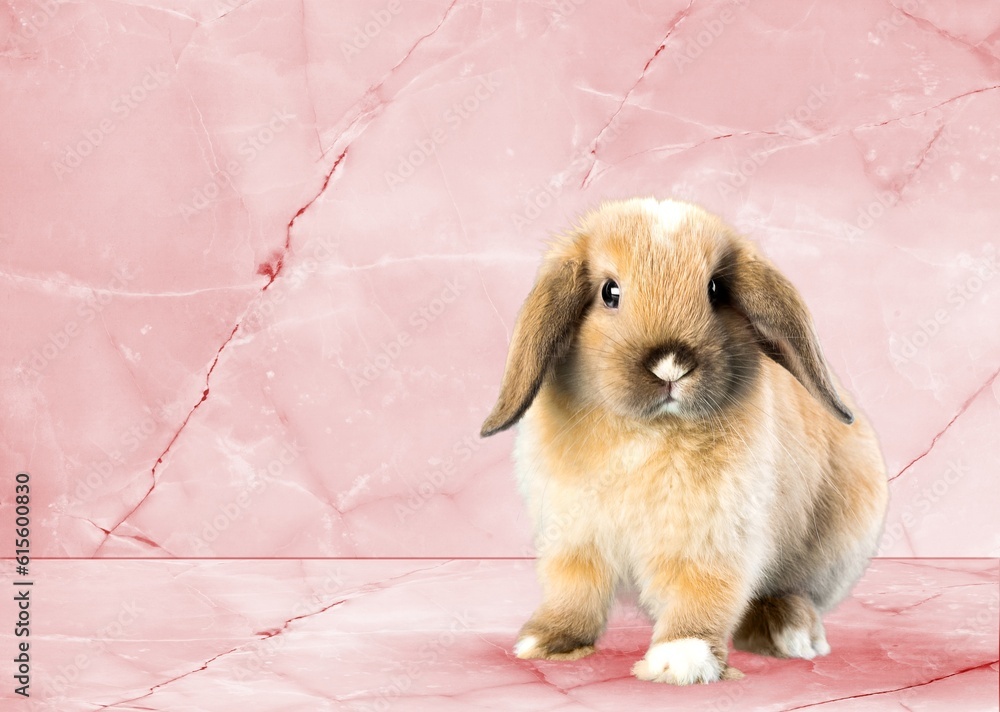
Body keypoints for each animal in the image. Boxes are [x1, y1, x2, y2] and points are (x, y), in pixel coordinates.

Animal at [480, 198, 887, 684]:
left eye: (715, 289)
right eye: (609, 292)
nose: (670, 363)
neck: (649, 430)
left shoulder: (715, 539)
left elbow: (703, 593)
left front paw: (680, 658)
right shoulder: (574, 537)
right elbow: (574, 589)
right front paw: (548, 641)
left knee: (790, 594)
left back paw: (788, 633)